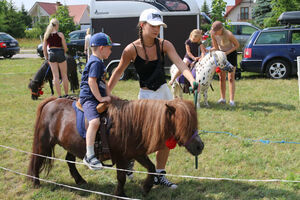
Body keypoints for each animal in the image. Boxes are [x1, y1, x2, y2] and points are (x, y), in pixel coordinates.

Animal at [27, 95, 204, 197]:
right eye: (185, 125)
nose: (200, 146)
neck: (133, 123)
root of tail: (52, 101)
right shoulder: (120, 156)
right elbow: (121, 176)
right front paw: (120, 193)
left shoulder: (137, 153)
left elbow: (152, 167)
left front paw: (146, 188)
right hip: (44, 142)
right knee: (37, 159)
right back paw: (36, 182)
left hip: (72, 144)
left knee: (69, 161)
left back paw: (80, 180)